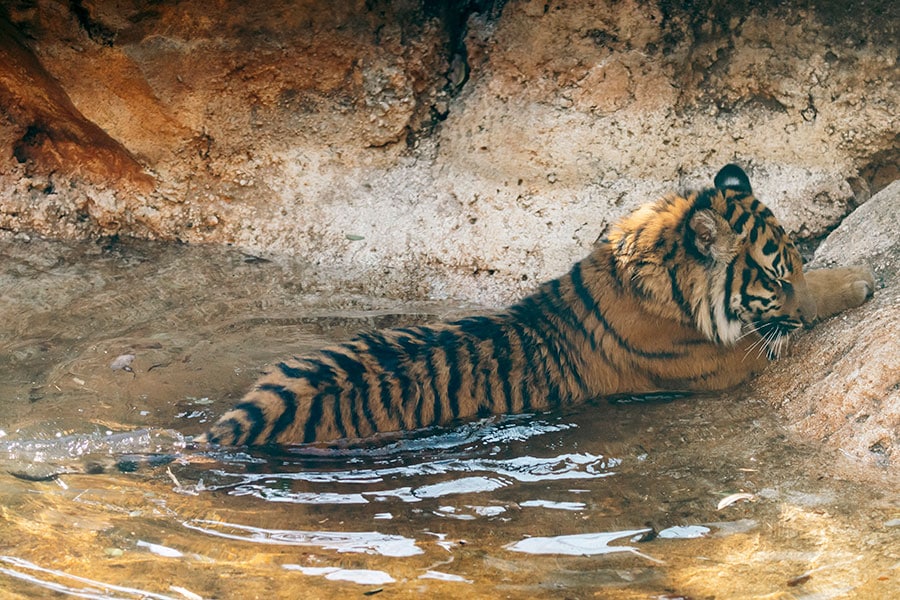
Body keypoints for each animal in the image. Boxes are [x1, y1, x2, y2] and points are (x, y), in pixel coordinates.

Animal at [200, 164, 876, 446]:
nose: (790, 307)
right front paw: (861, 278)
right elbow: (805, 310)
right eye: (777, 276)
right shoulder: (725, 360)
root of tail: (228, 427)